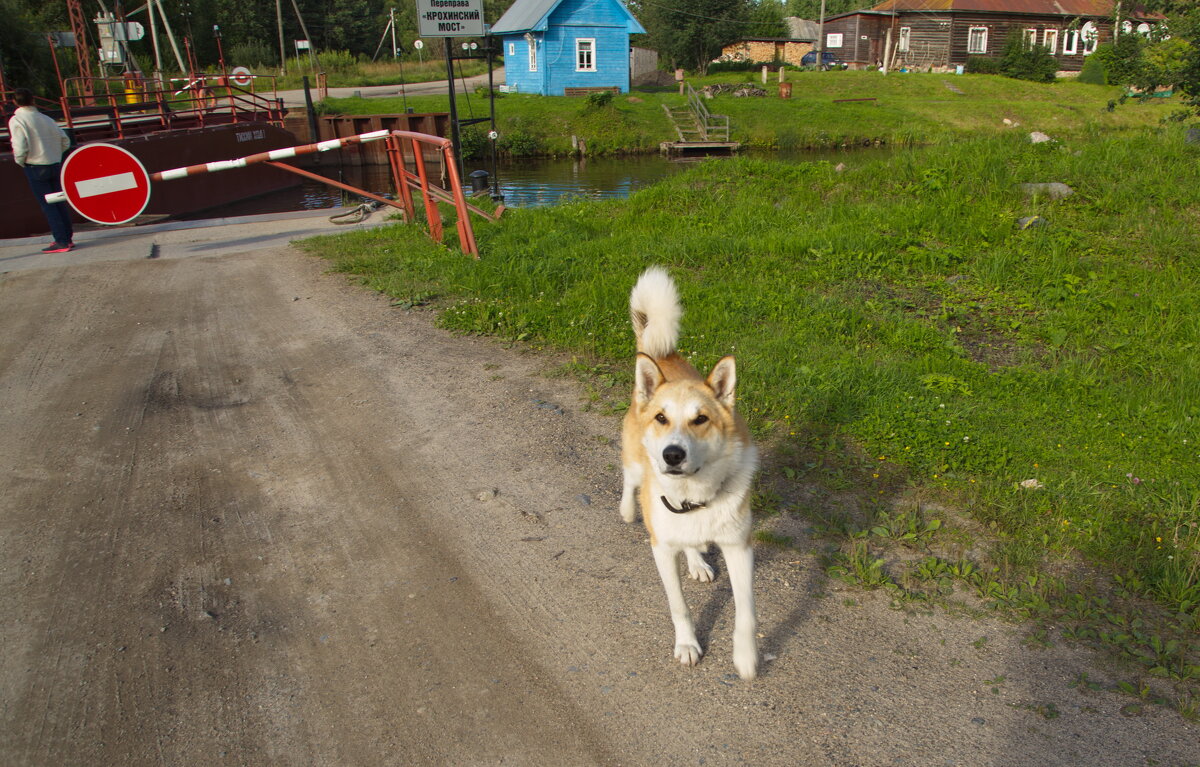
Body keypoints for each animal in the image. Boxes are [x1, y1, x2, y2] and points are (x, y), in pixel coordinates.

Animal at [619, 266, 758, 681]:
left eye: (701, 419)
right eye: (662, 418)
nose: (673, 454)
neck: (694, 495)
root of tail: (662, 356)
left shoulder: (740, 548)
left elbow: (746, 613)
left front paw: (746, 657)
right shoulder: (661, 550)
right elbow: (678, 606)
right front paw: (687, 645)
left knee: (692, 542)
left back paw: (696, 559)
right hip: (636, 463)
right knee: (629, 480)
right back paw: (628, 510)